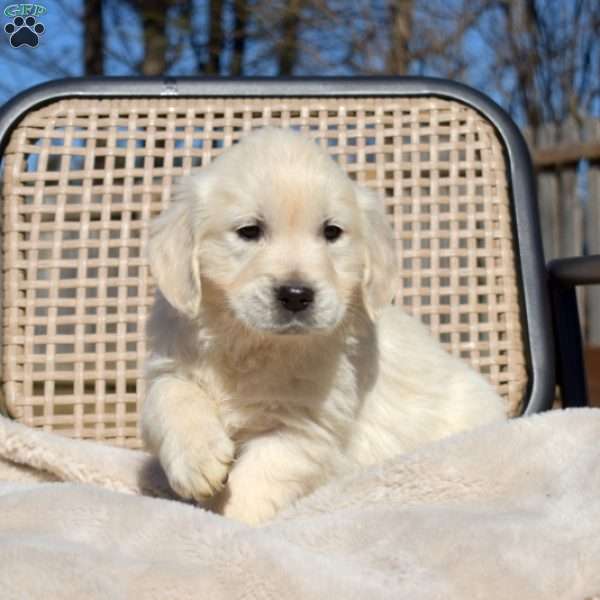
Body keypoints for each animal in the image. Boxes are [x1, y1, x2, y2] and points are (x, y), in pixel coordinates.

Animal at [142, 127, 506, 524]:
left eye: (332, 232)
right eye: (249, 231)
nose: (296, 294)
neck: (253, 343)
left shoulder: (302, 428)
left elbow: (255, 482)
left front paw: (232, 522)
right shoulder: (171, 363)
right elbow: (171, 396)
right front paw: (198, 460)